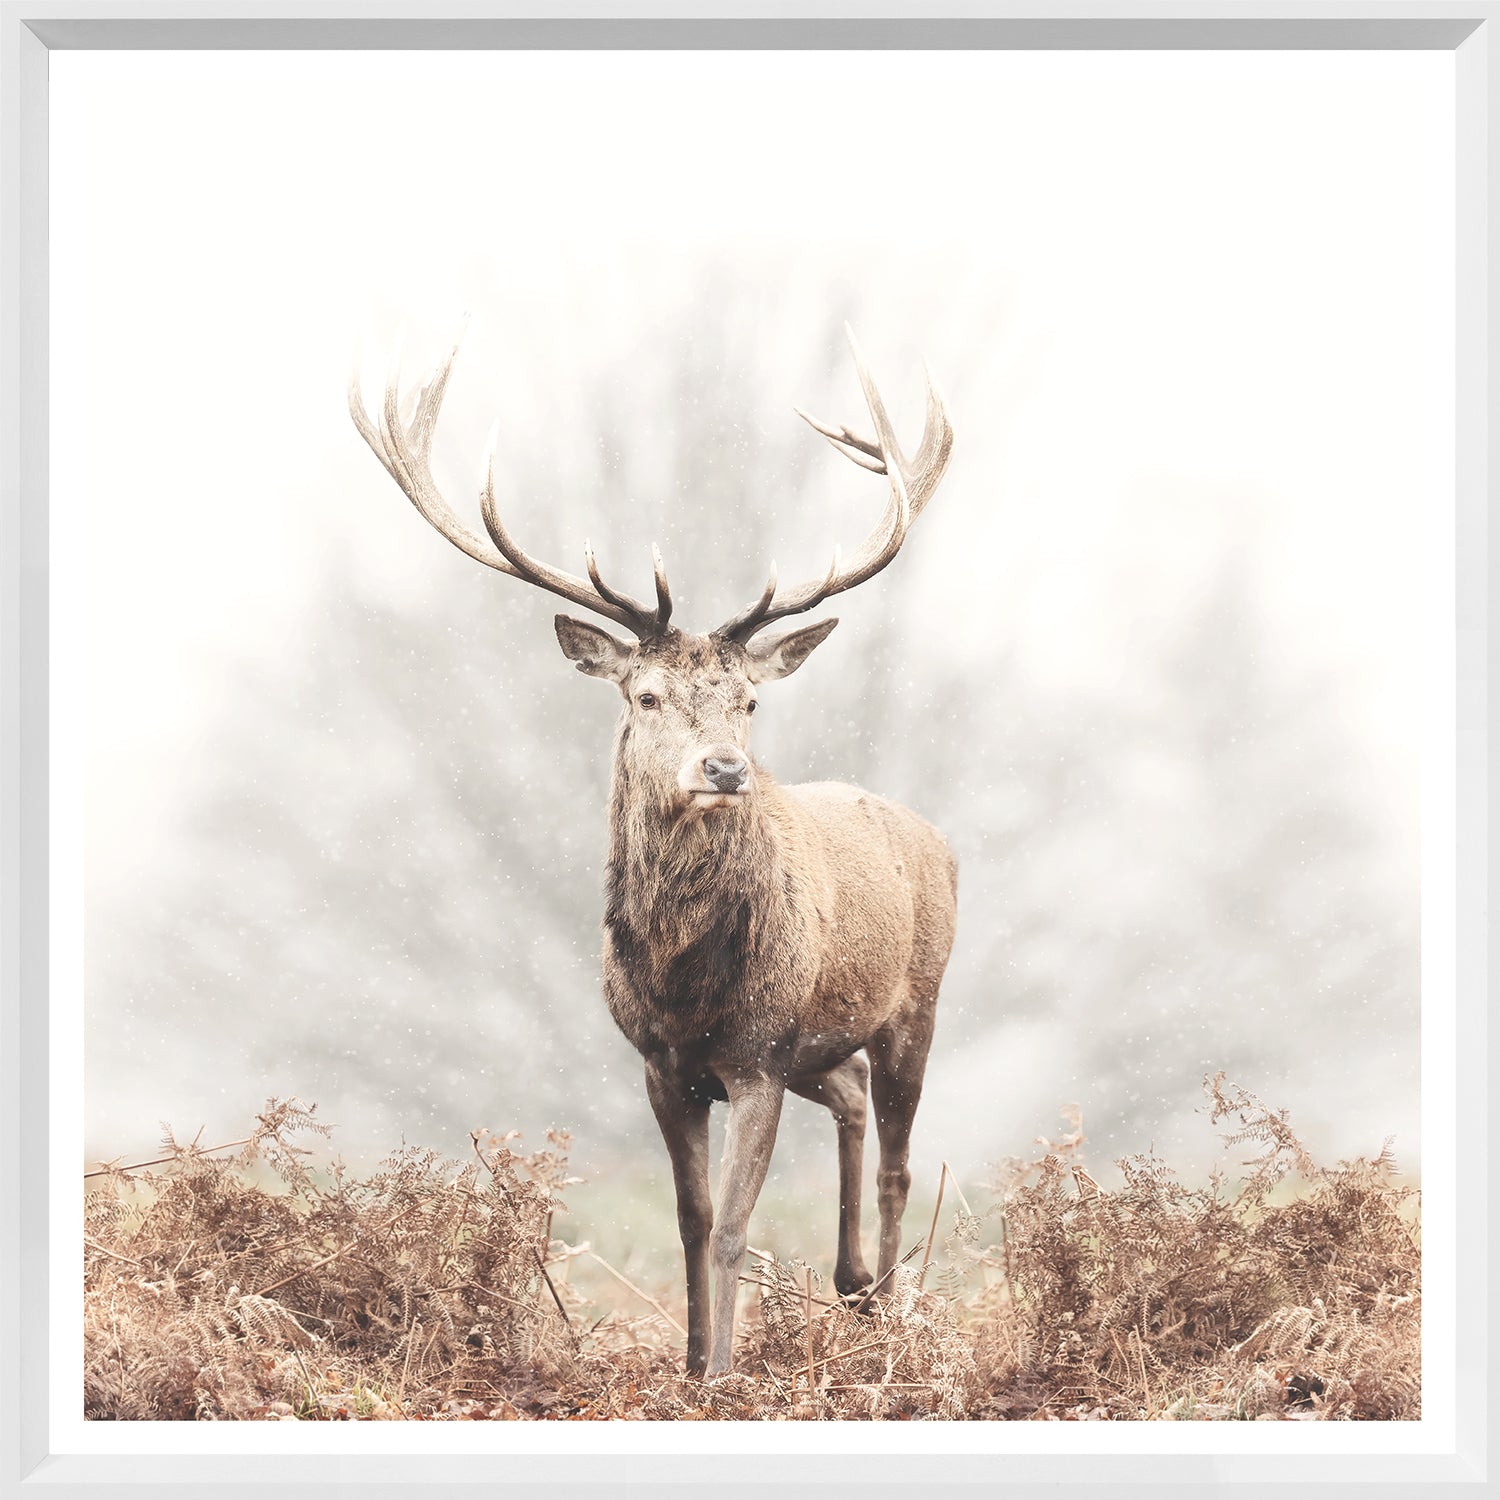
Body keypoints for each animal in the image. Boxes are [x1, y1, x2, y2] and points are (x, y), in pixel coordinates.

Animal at [349, 325, 957, 1377]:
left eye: (749, 701)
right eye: (646, 696)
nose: (724, 767)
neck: (685, 986)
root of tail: (938, 841)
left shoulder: (757, 1055)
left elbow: (736, 1227)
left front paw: (724, 1372)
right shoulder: (663, 1065)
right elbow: (689, 1219)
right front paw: (688, 1363)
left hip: (916, 998)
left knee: (898, 1159)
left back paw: (886, 1307)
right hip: (818, 1047)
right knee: (846, 1098)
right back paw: (851, 1287)